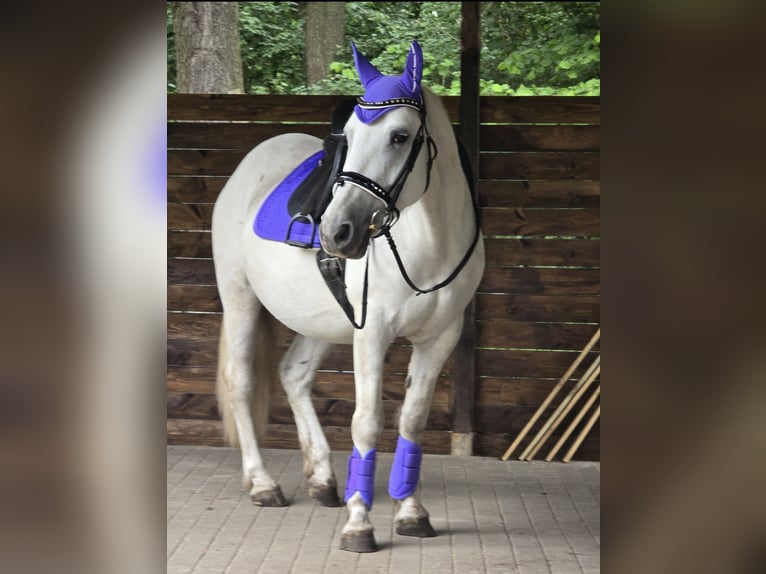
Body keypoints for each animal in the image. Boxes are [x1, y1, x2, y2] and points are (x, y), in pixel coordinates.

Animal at [211, 40, 485, 553]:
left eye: (399, 136)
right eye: (351, 136)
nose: (336, 231)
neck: (429, 244)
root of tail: (248, 164)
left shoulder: (439, 338)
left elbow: (412, 420)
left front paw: (411, 513)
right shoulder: (372, 333)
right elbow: (366, 421)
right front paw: (360, 525)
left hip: (323, 320)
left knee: (293, 375)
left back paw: (321, 479)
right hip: (240, 299)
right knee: (241, 382)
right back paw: (262, 484)